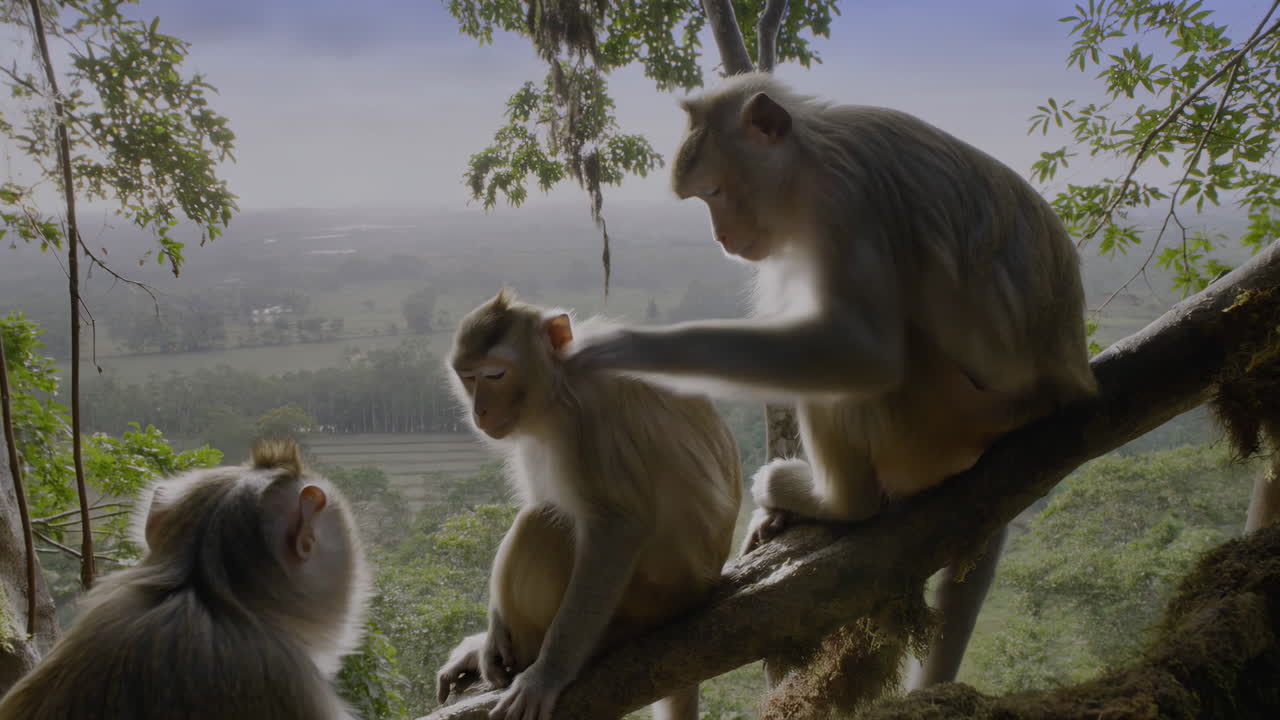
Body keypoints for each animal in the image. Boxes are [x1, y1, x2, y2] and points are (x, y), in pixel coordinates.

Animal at [433, 290, 742, 720]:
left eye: (494, 375)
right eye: (468, 377)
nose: (479, 411)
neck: (558, 387)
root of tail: (702, 591)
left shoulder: (592, 417)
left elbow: (617, 527)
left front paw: (547, 673)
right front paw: (493, 633)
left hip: (643, 608)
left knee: (542, 522)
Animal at [564, 72, 1098, 692]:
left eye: (715, 192)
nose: (721, 237)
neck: (809, 158)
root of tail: (1058, 387)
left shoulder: (842, 201)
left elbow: (867, 354)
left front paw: (629, 348)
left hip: (942, 418)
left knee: (858, 376)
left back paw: (837, 501)